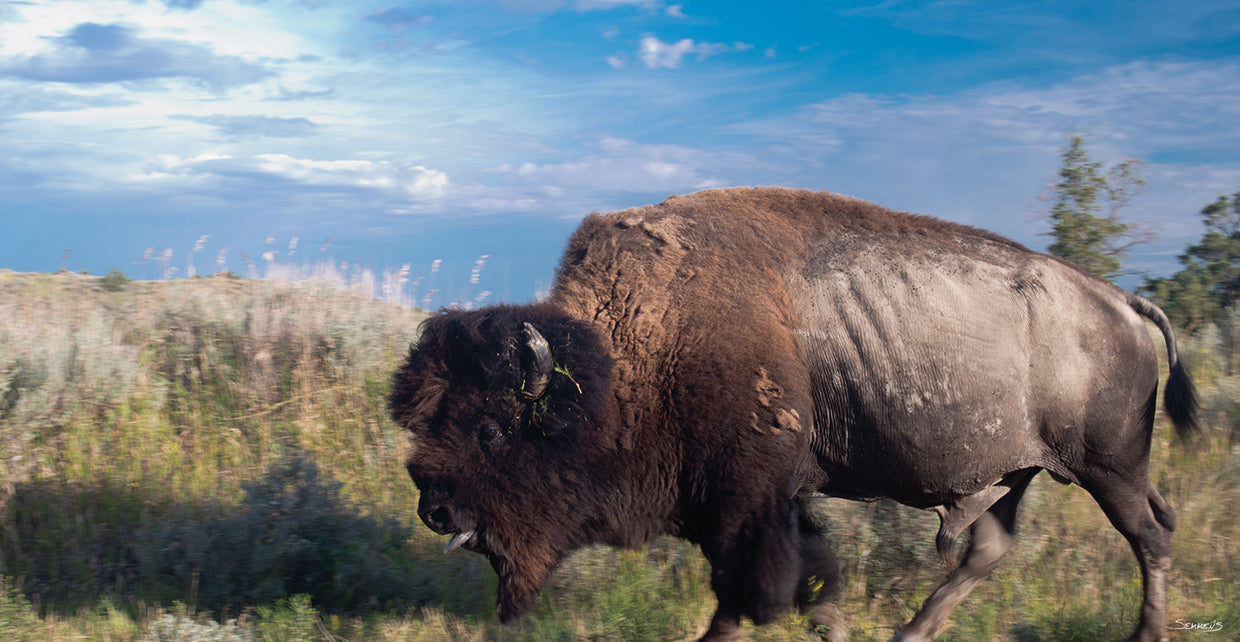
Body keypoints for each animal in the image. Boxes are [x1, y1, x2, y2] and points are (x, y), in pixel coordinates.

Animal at [389, 187, 1196, 641]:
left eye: (491, 429)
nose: (433, 507)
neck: (625, 357)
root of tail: (1120, 300)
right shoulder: (777, 498)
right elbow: (817, 583)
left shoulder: (745, 504)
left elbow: (747, 595)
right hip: (1016, 473)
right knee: (992, 549)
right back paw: (909, 635)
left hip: (1107, 466)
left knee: (1151, 536)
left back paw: (1146, 635)